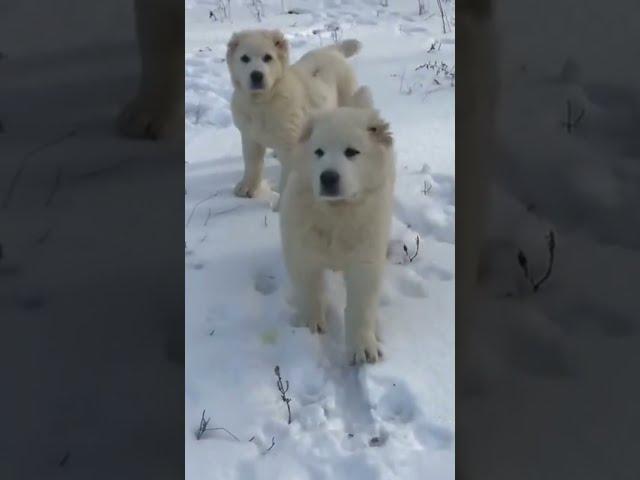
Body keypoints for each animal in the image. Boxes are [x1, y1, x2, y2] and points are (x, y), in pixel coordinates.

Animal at [228, 29, 362, 199]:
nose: (256, 75)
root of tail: (333, 50)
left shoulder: (289, 144)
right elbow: (252, 163)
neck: (262, 102)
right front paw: (247, 187)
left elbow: (287, 175)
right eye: (244, 58)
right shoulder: (249, 136)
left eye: (267, 57)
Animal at [280, 87, 396, 364]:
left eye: (351, 152)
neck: (337, 213)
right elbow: (309, 290)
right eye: (318, 152)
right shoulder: (302, 253)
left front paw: (363, 347)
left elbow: (361, 306)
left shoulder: (366, 260)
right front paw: (311, 325)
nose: (328, 177)